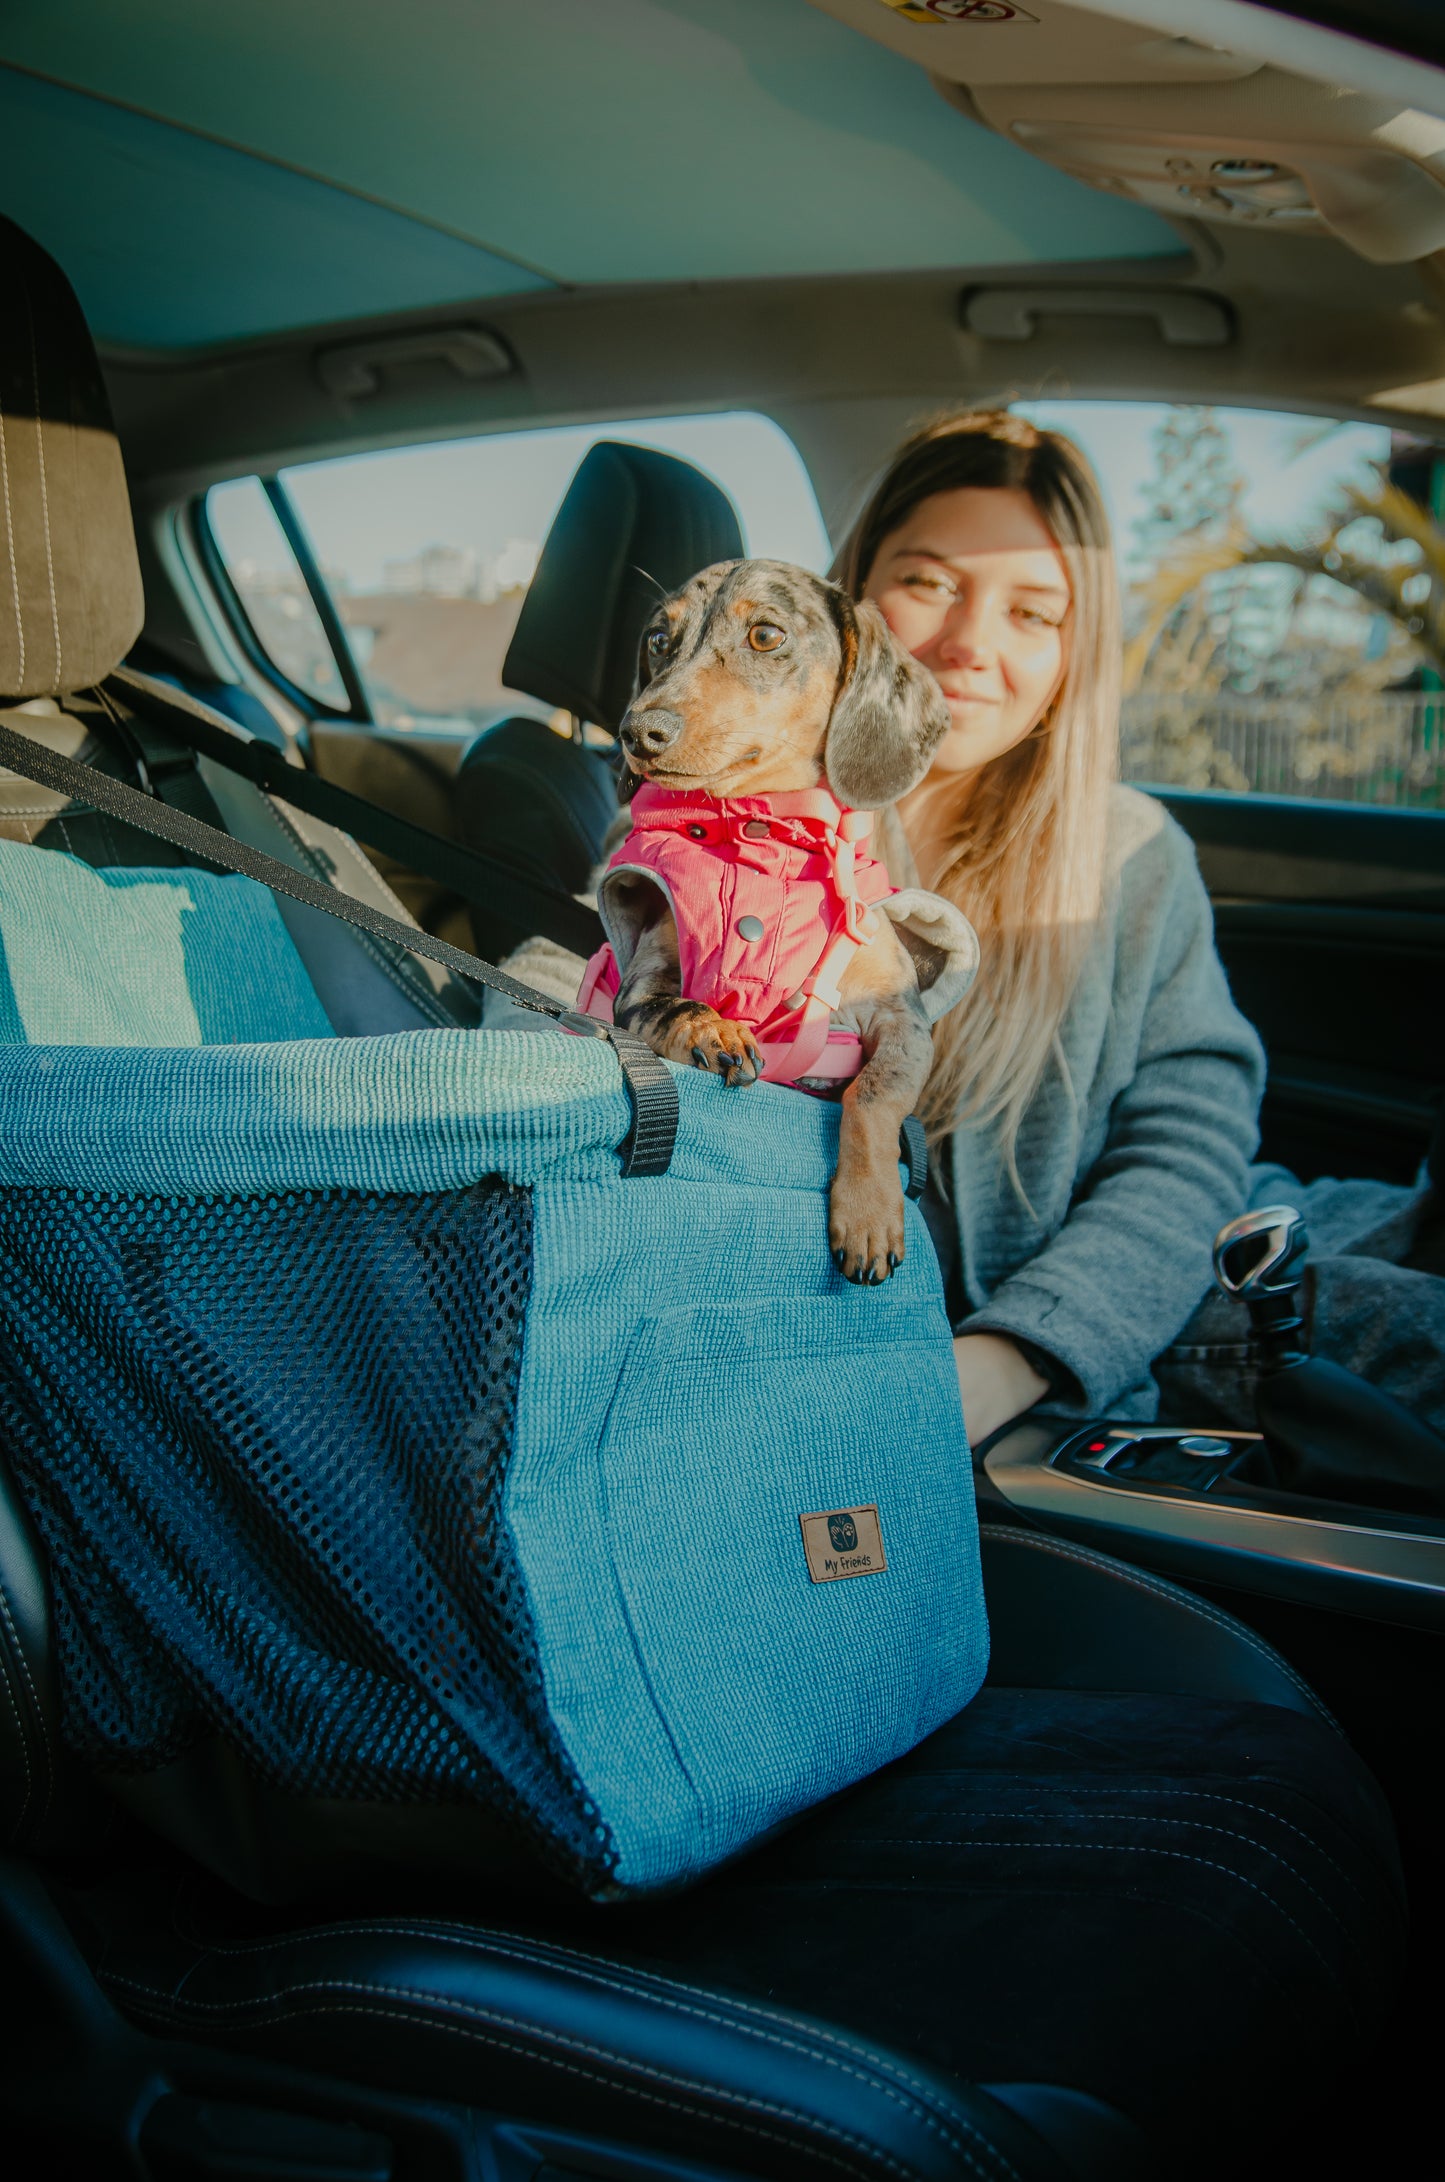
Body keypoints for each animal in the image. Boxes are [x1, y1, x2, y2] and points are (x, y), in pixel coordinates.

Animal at [598, 554, 986, 1283]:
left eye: (767, 635)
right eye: (659, 639)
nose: (637, 733)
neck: (767, 834)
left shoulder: (902, 1021)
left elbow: (872, 1097)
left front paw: (868, 1213)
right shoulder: (640, 986)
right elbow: (678, 1005)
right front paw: (715, 1030)